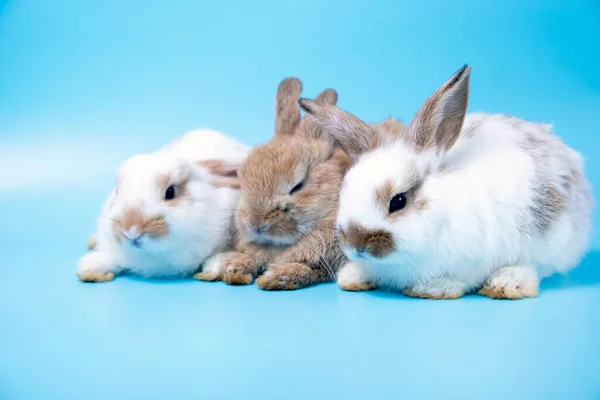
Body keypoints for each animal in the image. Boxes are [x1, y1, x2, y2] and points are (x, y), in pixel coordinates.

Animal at [302, 64, 592, 298]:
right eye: (343, 191)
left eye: (398, 201)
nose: (355, 244)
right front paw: (353, 277)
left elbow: (457, 280)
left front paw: (433, 288)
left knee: (536, 266)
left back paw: (506, 283)